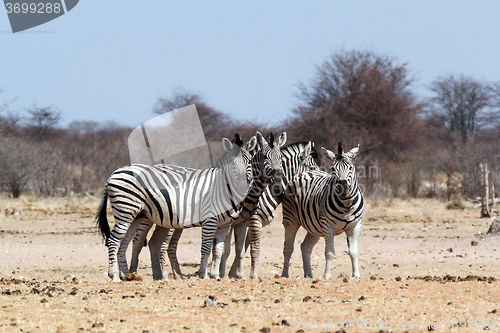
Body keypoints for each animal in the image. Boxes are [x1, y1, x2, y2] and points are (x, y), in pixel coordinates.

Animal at [95, 131, 284, 278]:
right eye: (232, 164)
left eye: (249, 162)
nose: (246, 183)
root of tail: (113, 174)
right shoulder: (211, 220)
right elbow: (207, 248)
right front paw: (205, 275)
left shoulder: (227, 223)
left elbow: (220, 250)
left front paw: (218, 276)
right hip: (127, 211)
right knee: (118, 240)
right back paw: (117, 276)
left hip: (136, 214)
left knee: (126, 241)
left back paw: (127, 274)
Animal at [282, 142, 364, 278]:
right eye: (333, 169)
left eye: (351, 168)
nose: (343, 188)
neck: (346, 204)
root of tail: (304, 172)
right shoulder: (327, 226)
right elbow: (329, 253)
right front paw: (327, 276)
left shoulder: (355, 226)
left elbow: (353, 252)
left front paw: (356, 275)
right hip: (291, 220)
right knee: (288, 248)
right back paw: (284, 275)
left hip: (314, 227)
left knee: (305, 246)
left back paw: (309, 275)